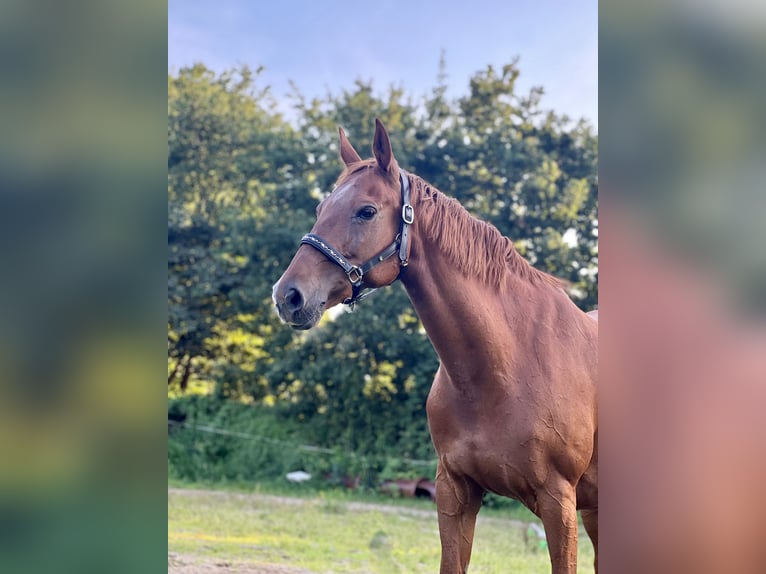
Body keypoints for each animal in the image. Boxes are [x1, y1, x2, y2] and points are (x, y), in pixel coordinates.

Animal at [273, 119, 598, 573]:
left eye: (366, 211)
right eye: (321, 209)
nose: (288, 296)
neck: (506, 365)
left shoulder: (559, 503)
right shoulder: (454, 491)